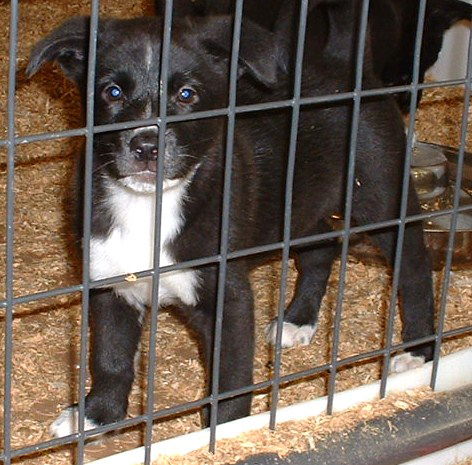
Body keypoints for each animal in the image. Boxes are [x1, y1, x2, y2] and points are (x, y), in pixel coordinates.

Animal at [27, 0, 436, 436]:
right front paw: (95, 415)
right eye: (112, 92)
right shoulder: (111, 282)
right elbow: (110, 357)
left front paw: (222, 433)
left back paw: (418, 350)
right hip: (297, 207)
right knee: (321, 247)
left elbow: (229, 378)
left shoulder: (229, 297)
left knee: (414, 269)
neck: (149, 206)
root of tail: (341, 59)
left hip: (381, 196)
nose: (146, 146)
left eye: (187, 94)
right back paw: (297, 320)